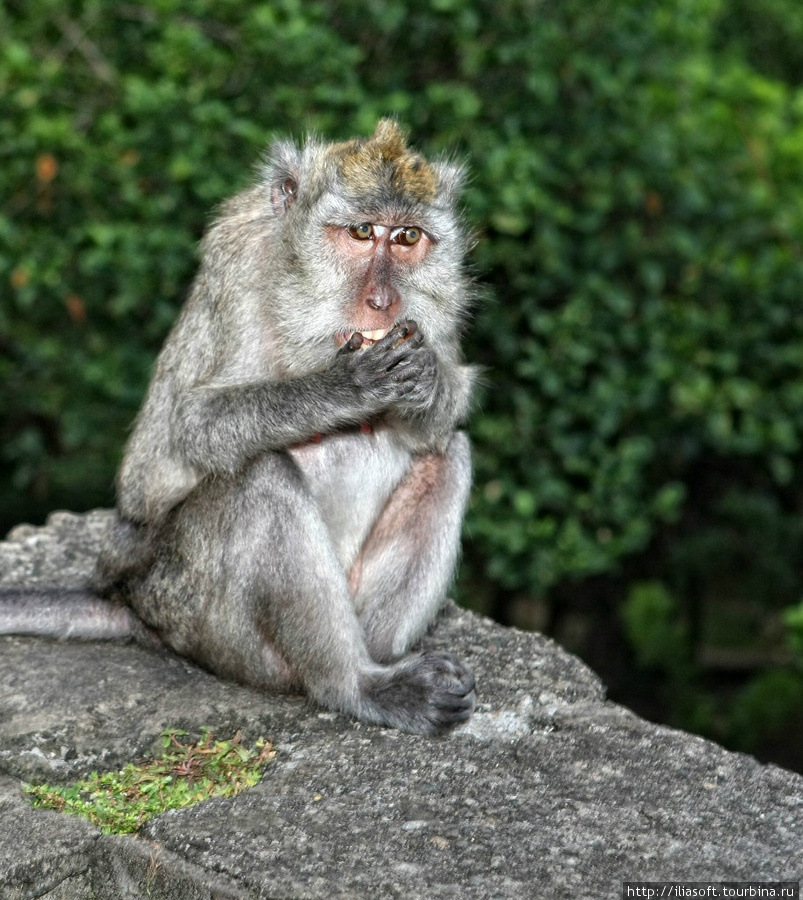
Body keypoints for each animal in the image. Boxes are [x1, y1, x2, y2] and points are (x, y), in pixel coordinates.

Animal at [0, 121, 478, 740]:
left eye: (406, 237)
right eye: (360, 232)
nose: (381, 302)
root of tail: (129, 599)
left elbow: (442, 419)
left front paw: (428, 382)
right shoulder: (240, 274)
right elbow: (184, 432)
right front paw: (344, 388)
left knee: (449, 455)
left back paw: (380, 661)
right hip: (200, 617)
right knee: (260, 478)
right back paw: (354, 685)